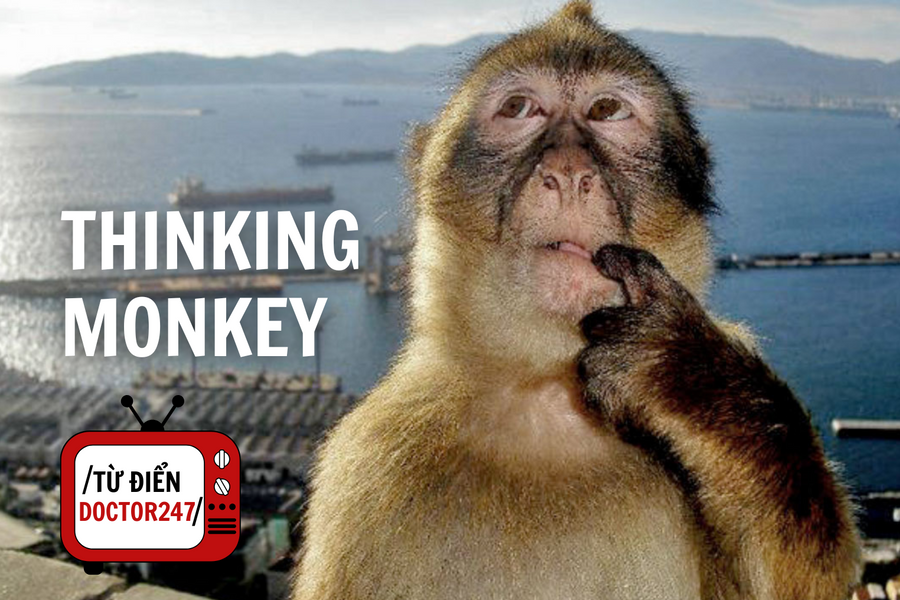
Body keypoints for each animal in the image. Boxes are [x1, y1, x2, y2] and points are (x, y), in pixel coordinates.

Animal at [293, 2, 861, 599]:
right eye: (519, 108)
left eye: (607, 110)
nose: (567, 173)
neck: (549, 392)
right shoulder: (366, 469)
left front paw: (683, 374)